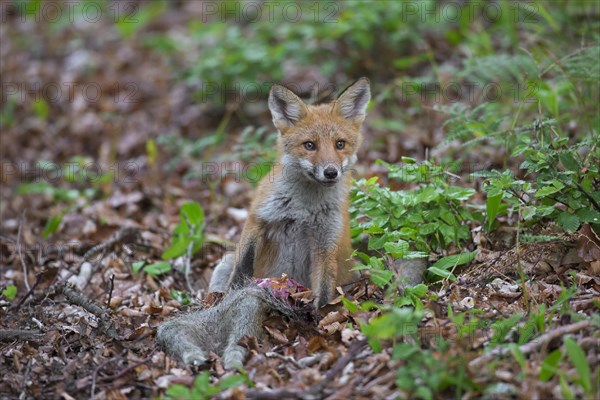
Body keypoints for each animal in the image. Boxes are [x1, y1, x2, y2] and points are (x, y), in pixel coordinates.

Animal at [211, 77, 370, 306]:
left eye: (340, 144)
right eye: (309, 145)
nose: (331, 172)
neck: (304, 208)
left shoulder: (326, 242)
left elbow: (323, 290)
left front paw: (318, 313)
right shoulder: (257, 218)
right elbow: (242, 266)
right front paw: (233, 294)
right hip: (223, 263)